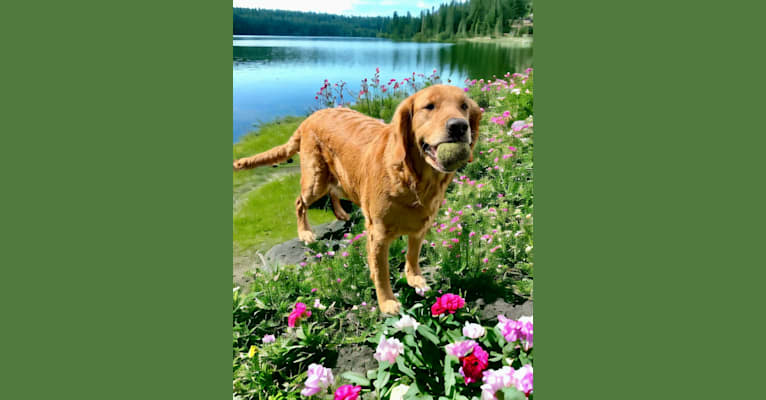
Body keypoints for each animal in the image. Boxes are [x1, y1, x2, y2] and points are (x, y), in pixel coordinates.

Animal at [234, 85, 480, 316]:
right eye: (429, 106)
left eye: (464, 106)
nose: (459, 126)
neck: (415, 179)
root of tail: (310, 118)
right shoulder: (378, 233)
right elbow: (381, 272)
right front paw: (387, 301)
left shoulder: (421, 226)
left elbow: (413, 254)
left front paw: (414, 277)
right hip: (315, 180)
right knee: (299, 202)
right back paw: (305, 232)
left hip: (346, 180)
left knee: (334, 191)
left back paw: (341, 213)